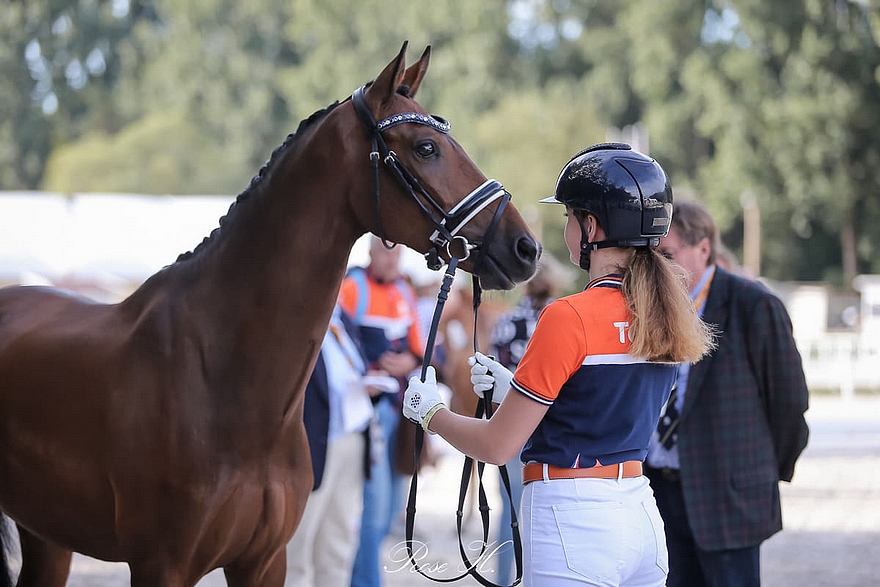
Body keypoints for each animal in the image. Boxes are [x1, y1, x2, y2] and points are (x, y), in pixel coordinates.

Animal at [0, 42, 536, 587]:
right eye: (426, 147)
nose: (525, 247)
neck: (224, 383)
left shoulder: (263, 560)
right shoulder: (160, 565)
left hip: (49, 533)